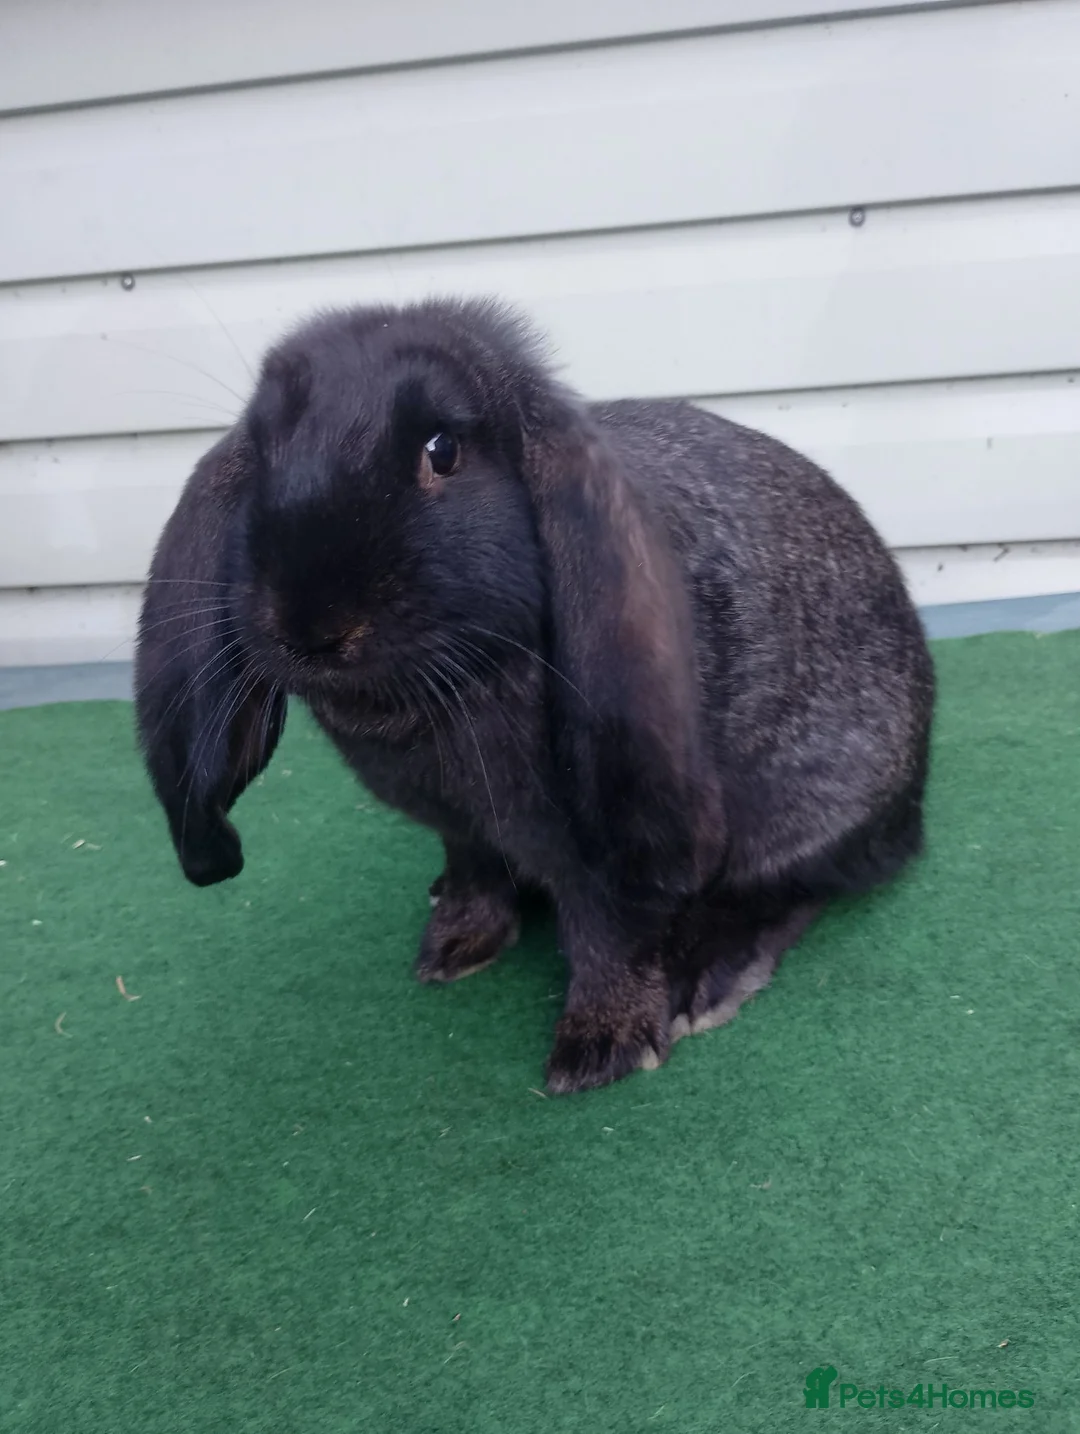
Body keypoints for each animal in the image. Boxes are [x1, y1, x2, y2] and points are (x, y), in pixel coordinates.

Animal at [134, 298, 935, 1093]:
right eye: (263, 454)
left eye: (443, 450)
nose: (310, 627)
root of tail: (911, 808)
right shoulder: (464, 832)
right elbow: (476, 873)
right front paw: (455, 948)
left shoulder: (604, 854)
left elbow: (612, 937)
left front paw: (599, 1051)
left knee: (799, 888)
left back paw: (710, 977)